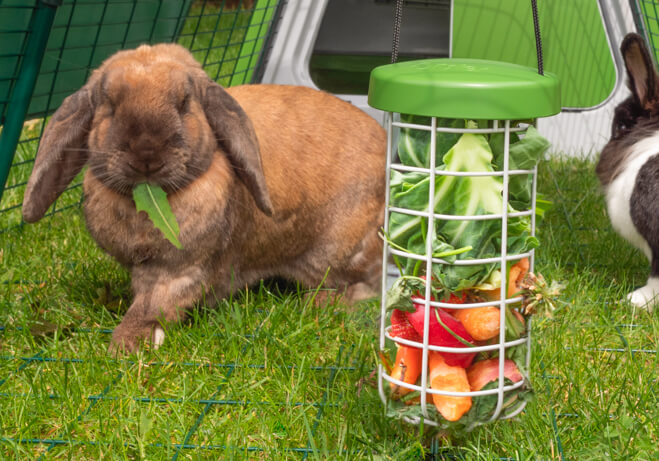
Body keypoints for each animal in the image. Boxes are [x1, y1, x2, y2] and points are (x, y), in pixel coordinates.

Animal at [22, 43, 387, 352]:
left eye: (184, 103)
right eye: (109, 105)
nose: (146, 155)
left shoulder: (181, 270)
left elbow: (154, 304)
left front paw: (128, 344)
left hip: (338, 252)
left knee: (366, 285)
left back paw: (321, 304)